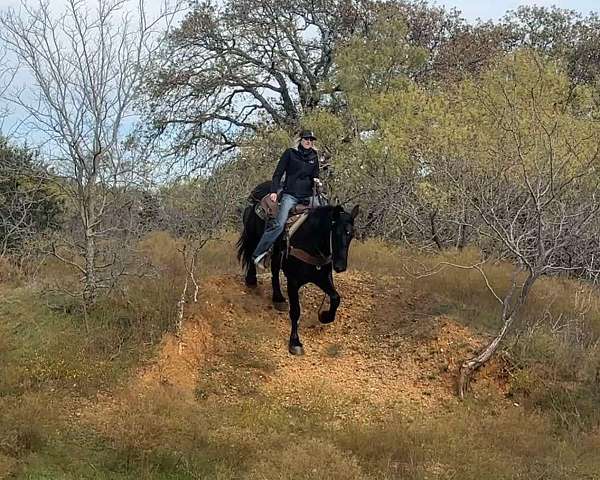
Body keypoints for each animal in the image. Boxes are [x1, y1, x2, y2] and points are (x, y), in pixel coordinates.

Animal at [237, 186, 358, 354]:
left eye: (351, 234)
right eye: (335, 232)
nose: (340, 266)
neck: (310, 241)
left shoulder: (323, 277)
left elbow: (335, 298)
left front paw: (325, 316)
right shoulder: (293, 282)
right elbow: (296, 311)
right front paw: (295, 342)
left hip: (277, 255)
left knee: (274, 271)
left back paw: (278, 299)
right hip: (253, 235)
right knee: (251, 253)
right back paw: (251, 280)